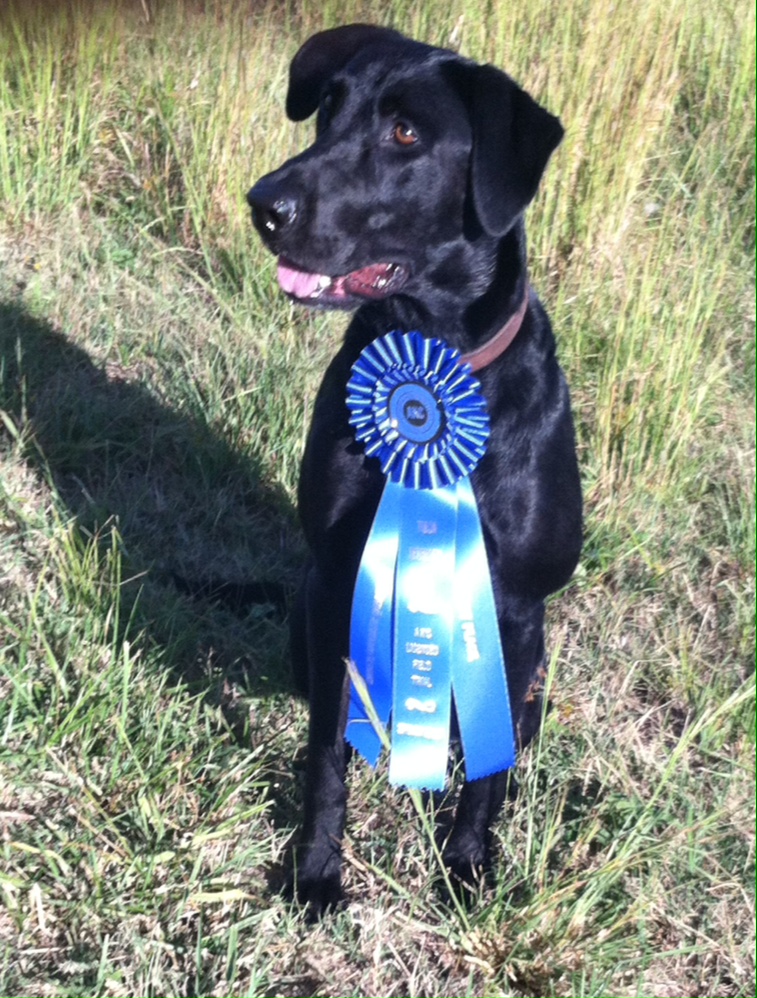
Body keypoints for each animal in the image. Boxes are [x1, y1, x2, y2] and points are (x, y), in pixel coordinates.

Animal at [245, 23, 580, 916]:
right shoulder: (336, 583)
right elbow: (327, 754)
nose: (264, 204)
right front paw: (317, 869)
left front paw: (464, 864)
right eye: (327, 110)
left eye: (404, 134)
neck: (431, 354)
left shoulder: (516, 612)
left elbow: (486, 778)